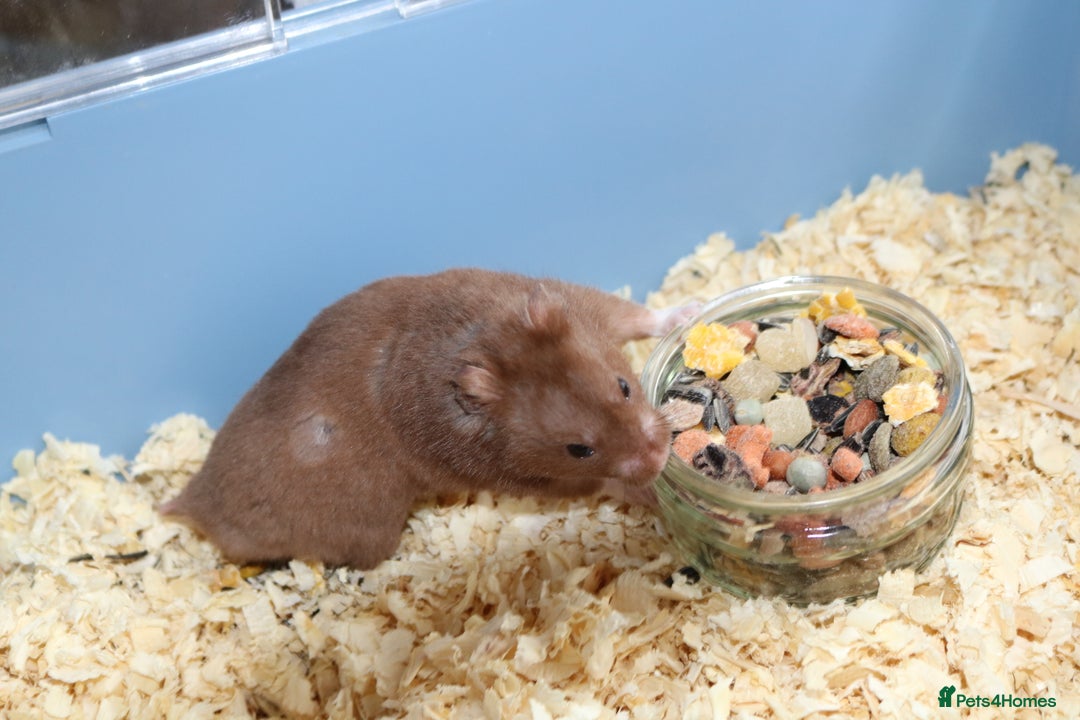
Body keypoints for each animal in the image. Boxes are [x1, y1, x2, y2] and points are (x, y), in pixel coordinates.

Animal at [160, 268, 697, 569]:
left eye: (624, 386)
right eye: (578, 449)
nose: (661, 455)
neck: (481, 343)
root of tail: (195, 501)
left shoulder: (580, 302)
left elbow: (633, 314)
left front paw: (687, 314)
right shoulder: (514, 474)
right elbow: (601, 484)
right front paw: (650, 493)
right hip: (366, 526)